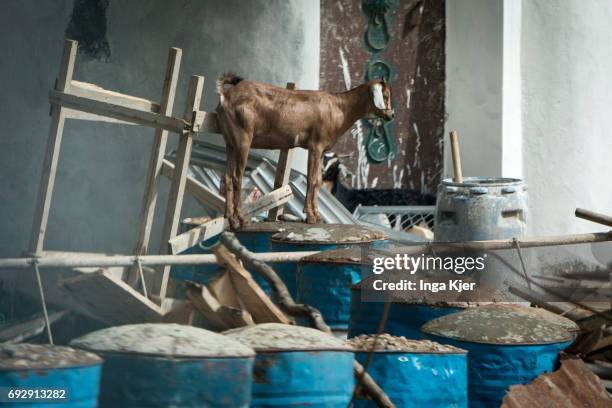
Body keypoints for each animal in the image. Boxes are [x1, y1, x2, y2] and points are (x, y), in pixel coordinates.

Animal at [218, 73, 394, 230]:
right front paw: (309, 215)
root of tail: (226, 96)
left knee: (227, 177)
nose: (391, 115)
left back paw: (231, 220)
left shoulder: (322, 151)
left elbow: (318, 181)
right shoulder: (315, 146)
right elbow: (311, 179)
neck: (340, 107)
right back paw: (241, 219)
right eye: (385, 95)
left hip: (230, 143)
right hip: (243, 139)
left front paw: (317, 216)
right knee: (237, 177)